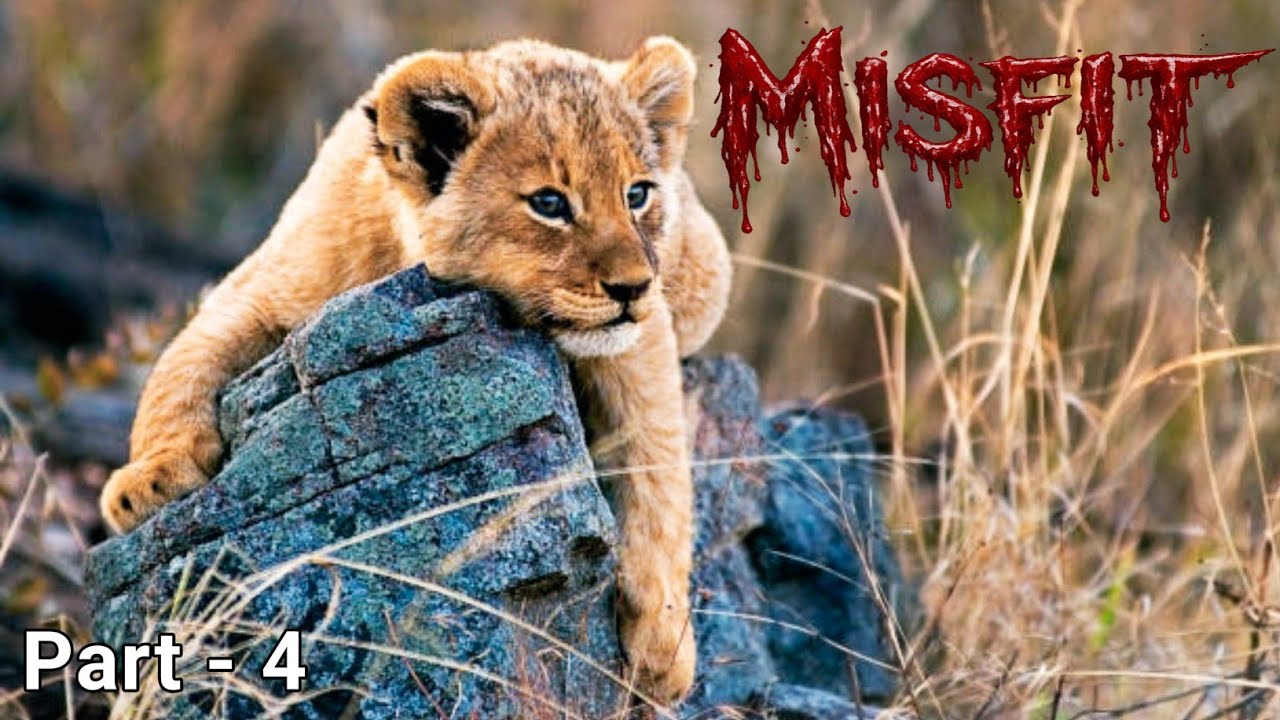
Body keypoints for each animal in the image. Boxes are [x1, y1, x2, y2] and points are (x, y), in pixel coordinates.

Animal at [99, 37, 732, 704]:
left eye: (637, 194)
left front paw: (664, 645)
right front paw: (148, 482)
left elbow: (659, 472)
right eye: (549, 204)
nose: (633, 287)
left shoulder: (640, 343)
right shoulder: (259, 288)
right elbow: (180, 365)